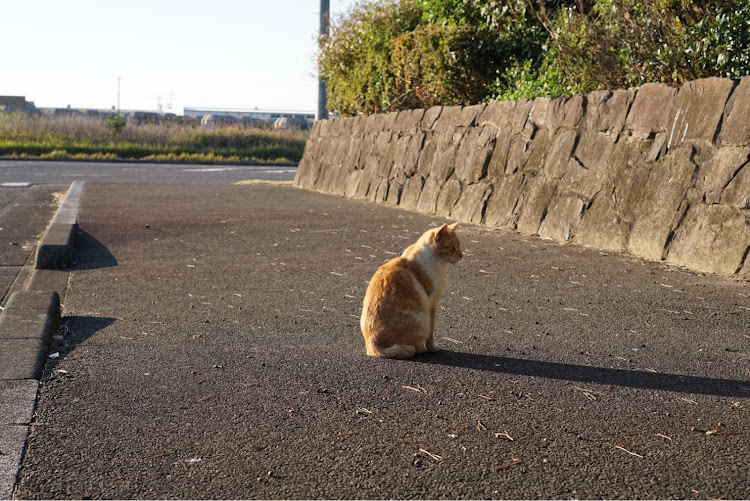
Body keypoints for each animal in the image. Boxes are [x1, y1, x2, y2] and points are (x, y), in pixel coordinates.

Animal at [360, 221, 462, 358]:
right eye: (452, 247)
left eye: (459, 246)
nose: (461, 255)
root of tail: (373, 342)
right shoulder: (432, 303)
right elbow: (431, 334)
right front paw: (432, 348)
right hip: (422, 320)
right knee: (415, 347)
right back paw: (421, 349)